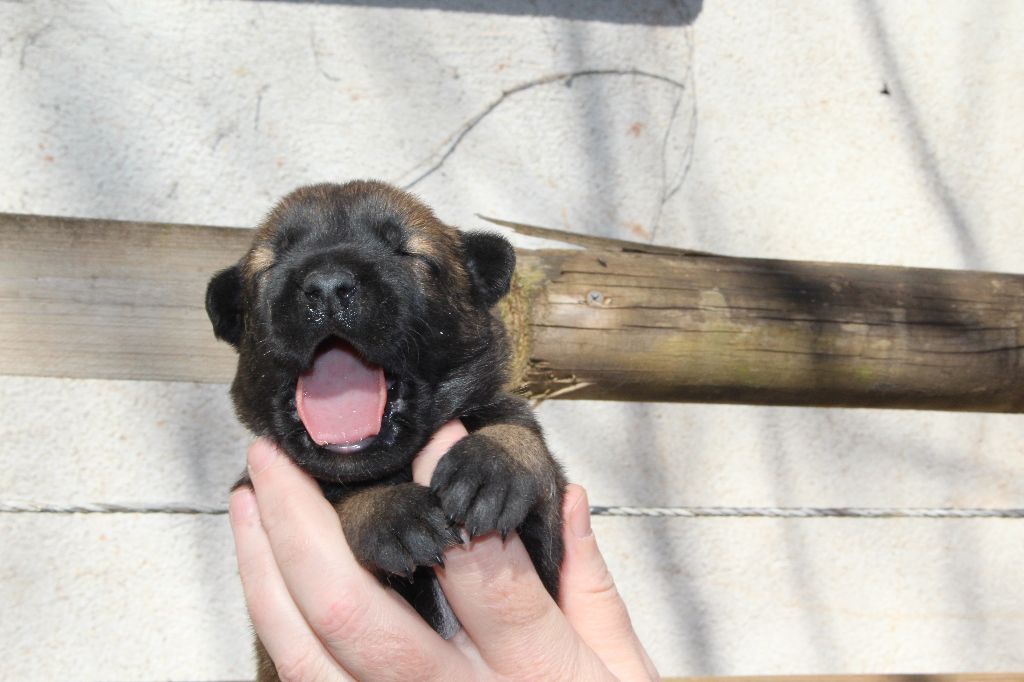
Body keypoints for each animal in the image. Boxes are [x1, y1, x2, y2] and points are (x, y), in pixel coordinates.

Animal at [205, 180, 565, 678]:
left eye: (406, 252)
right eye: (271, 264)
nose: (328, 285)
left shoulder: (545, 548)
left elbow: (525, 440)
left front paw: (492, 465)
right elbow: (342, 499)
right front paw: (391, 511)